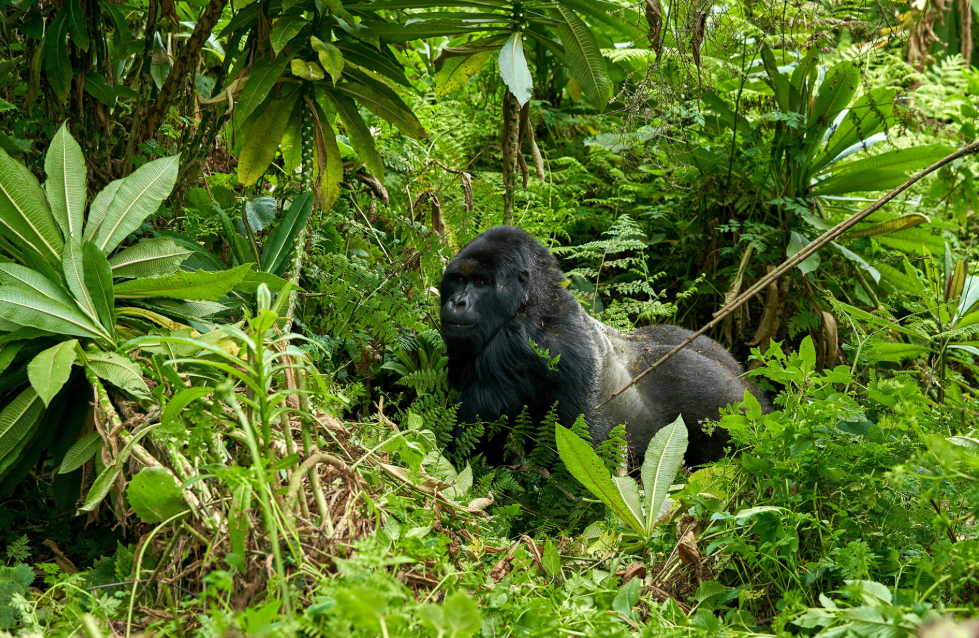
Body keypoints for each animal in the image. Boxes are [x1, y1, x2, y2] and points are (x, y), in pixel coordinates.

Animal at [439, 225, 771, 467]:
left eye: (481, 283)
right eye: (459, 279)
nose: (457, 303)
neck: (535, 298)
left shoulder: (514, 344)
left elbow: (469, 448)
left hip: (731, 414)